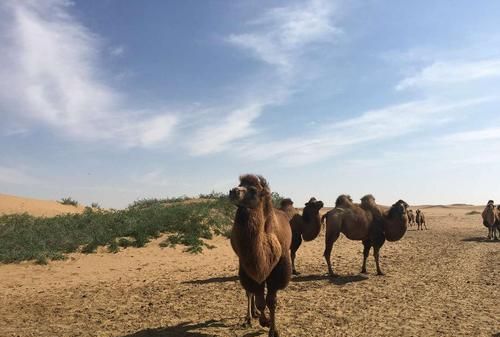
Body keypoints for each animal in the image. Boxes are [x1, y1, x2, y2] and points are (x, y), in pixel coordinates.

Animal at [229, 175, 292, 334]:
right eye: (240, 184)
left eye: (253, 190)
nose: (233, 191)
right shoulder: (249, 268)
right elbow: (260, 300)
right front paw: (265, 321)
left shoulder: (278, 270)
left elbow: (271, 301)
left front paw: (273, 329)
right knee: (249, 292)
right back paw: (250, 317)